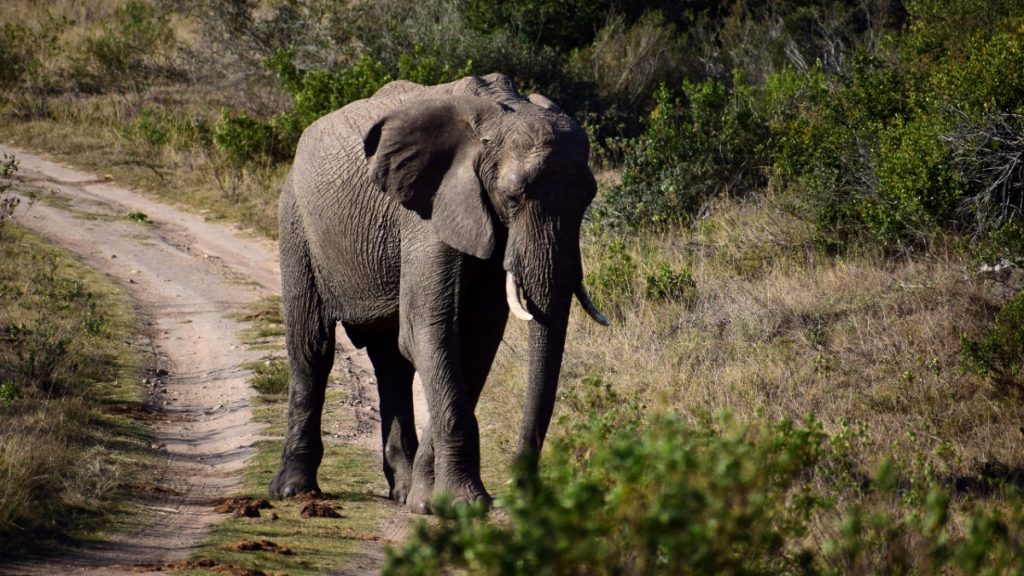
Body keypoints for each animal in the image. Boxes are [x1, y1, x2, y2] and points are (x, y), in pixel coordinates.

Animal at [268, 73, 609, 513]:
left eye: (588, 197)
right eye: (512, 197)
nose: (521, 489)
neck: (495, 120)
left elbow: (473, 342)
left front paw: (427, 500)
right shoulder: (427, 216)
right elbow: (428, 331)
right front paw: (462, 503)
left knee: (390, 362)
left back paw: (400, 490)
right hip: (296, 220)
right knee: (312, 349)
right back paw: (294, 490)